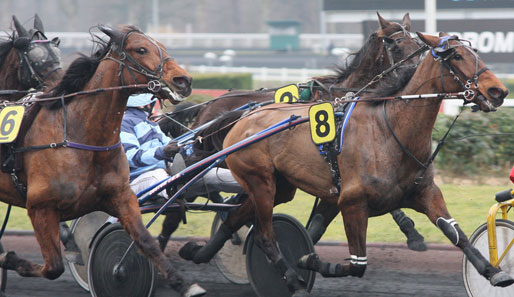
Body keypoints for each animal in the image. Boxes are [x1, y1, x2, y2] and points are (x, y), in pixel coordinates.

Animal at [0, 24, 204, 296]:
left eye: (161, 45)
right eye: (141, 49)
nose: (184, 80)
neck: (79, 134)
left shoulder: (121, 196)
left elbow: (145, 241)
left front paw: (183, 283)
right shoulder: (41, 207)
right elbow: (53, 267)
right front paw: (9, 259)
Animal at [179, 31, 508, 294]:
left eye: (476, 53)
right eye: (456, 55)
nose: (499, 91)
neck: (390, 130)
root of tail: (242, 117)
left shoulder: (425, 193)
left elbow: (456, 234)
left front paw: (493, 271)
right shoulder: (352, 202)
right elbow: (357, 263)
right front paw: (310, 260)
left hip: (279, 187)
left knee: (236, 218)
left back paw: (197, 252)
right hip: (260, 182)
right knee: (265, 235)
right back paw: (290, 277)